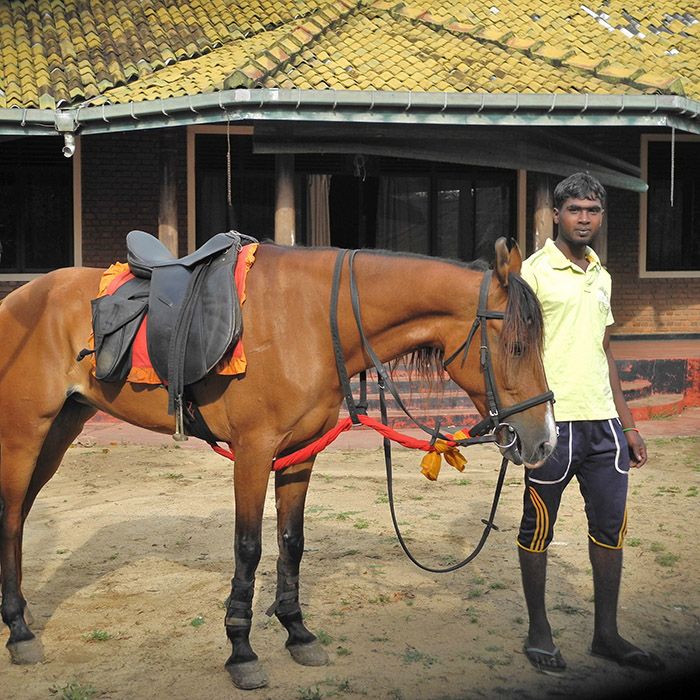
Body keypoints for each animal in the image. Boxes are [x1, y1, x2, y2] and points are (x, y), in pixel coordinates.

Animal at [1, 235, 556, 688]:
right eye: (516, 345)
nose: (543, 441)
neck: (312, 321)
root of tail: (17, 299)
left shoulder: (298, 453)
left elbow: (292, 543)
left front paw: (297, 632)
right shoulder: (252, 452)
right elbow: (248, 548)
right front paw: (241, 651)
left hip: (62, 428)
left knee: (22, 516)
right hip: (24, 435)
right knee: (10, 518)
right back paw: (19, 630)